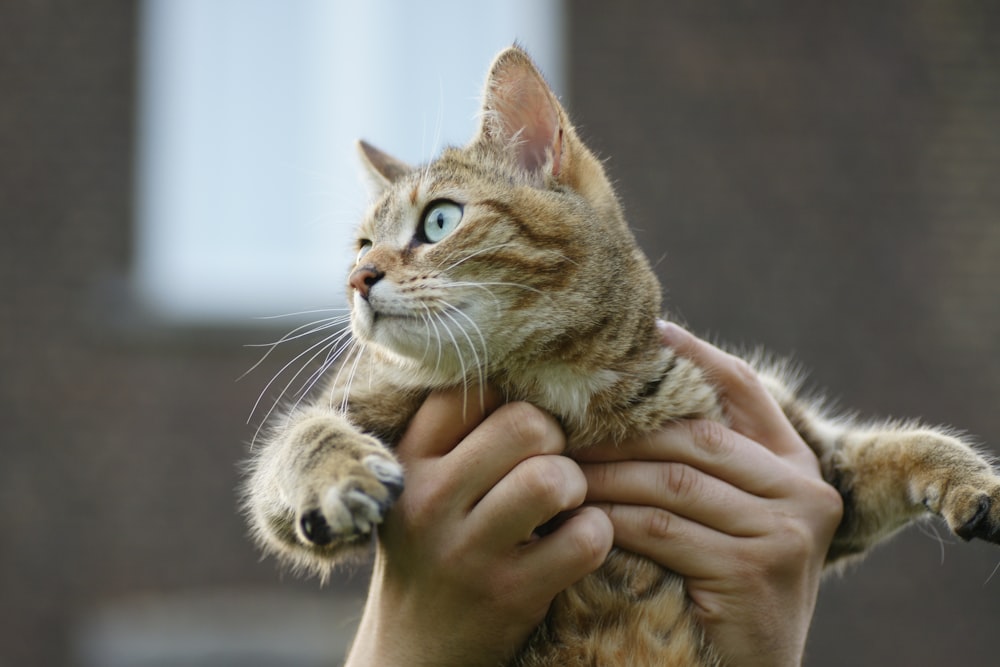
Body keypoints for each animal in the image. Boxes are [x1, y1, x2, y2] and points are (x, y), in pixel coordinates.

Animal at [240, 44, 1000, 664]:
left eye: (440, 220)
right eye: (363, 246)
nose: (357, 280)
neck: (558, 376)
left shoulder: (813, 467)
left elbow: (893, 446)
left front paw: (975, 481)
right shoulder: (357, 405)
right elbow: (297, 441)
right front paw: (337, 477)